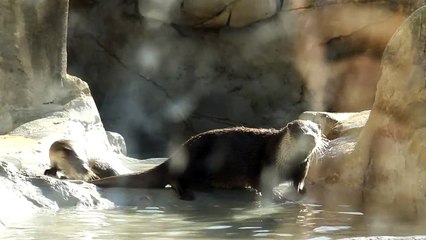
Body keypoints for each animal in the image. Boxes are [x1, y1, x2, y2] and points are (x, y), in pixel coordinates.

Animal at [90, 120, 326, 201]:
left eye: (315, 129)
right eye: (299, 130)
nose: (310, 136)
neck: (287, 162)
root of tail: (179, 151)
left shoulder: (302, 167)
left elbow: (299, 180)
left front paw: (301, 190)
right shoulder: (263, 162)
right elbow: (260, 182)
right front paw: (274, 194)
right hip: (198, 161)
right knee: (174, 178)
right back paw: (191, 192)